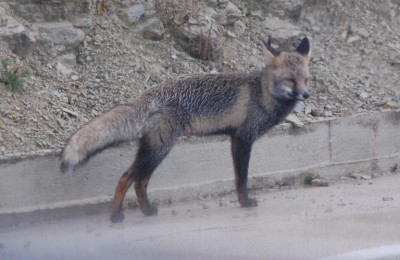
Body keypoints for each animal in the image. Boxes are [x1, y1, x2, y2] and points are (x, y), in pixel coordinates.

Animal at [60, 36, 312, 223]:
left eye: (306, 80)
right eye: (290, 80)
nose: (306, 95)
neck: (262, 94)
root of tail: (147, 94)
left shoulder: (235, 138)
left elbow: (239, 179)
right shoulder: (242, 139)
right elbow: (242, 179)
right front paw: (245, 203)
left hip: (156, 150)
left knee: (140, 181)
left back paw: (147, 211)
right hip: (158, 149)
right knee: (126, 178)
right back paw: (115, 216)